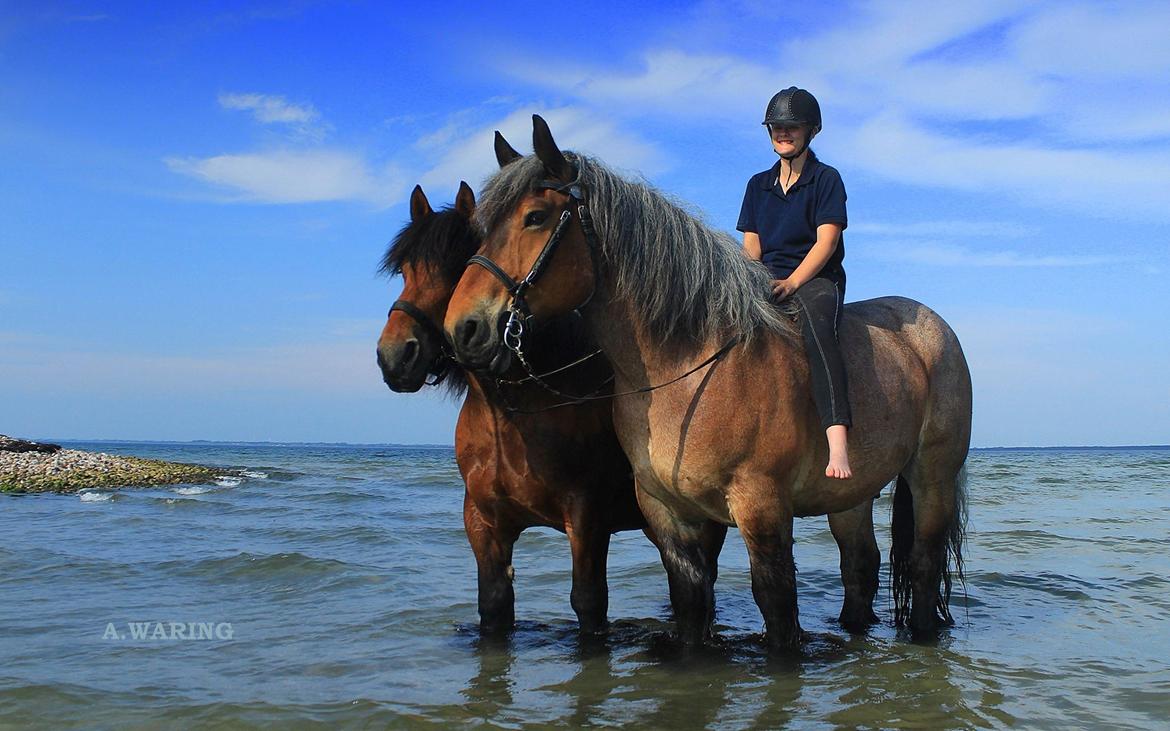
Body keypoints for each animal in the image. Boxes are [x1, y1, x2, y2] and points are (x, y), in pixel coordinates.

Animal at [439, 114, 968, 645]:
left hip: (933, 477)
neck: (685, 368)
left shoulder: (761, 507)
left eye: (535, 217)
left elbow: (778, 609)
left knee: (923, 563)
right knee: (860, 564)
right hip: (850, 496)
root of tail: (936, 328)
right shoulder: (669, 514)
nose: (463, 328)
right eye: (482, 229)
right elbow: (691, 605)